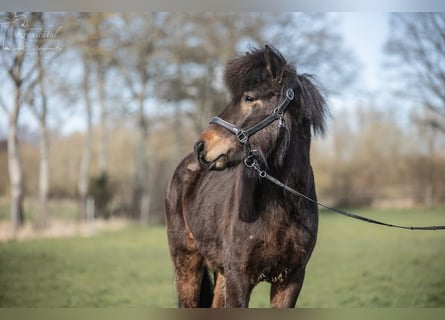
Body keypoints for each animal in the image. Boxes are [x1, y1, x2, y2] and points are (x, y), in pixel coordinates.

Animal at [163, 45, 326, 308]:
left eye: (249, 97)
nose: (201, 147)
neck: (281, 206)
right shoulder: (239, 278)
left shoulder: (291, 280)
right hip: (186, 265)